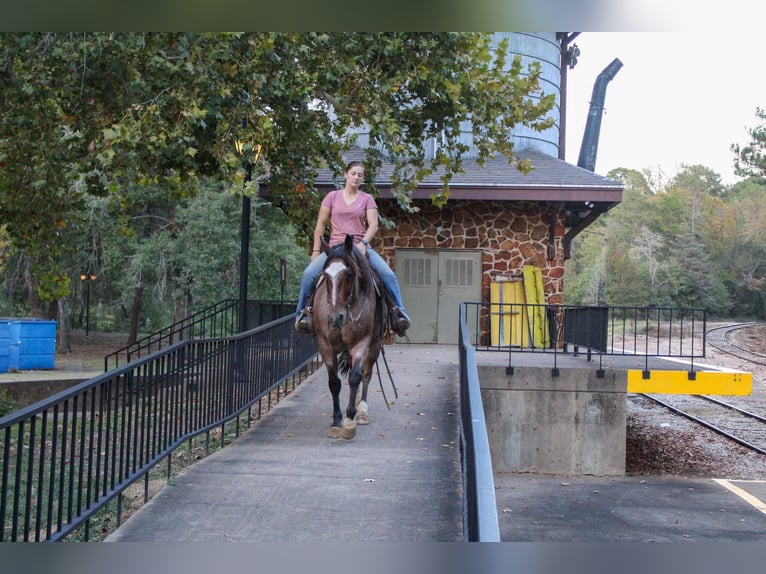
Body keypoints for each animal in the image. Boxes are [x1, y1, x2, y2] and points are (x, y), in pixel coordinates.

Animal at [312, 234, 390, 440]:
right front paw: (337, 420)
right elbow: (334, 383)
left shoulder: (362, 342)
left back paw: (361, 411)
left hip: (375, 345)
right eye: (325, 276)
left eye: (349, 274)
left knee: (366, 374)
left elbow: (356, 377)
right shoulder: (325, 344)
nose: (335, 317)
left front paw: (349, 421)